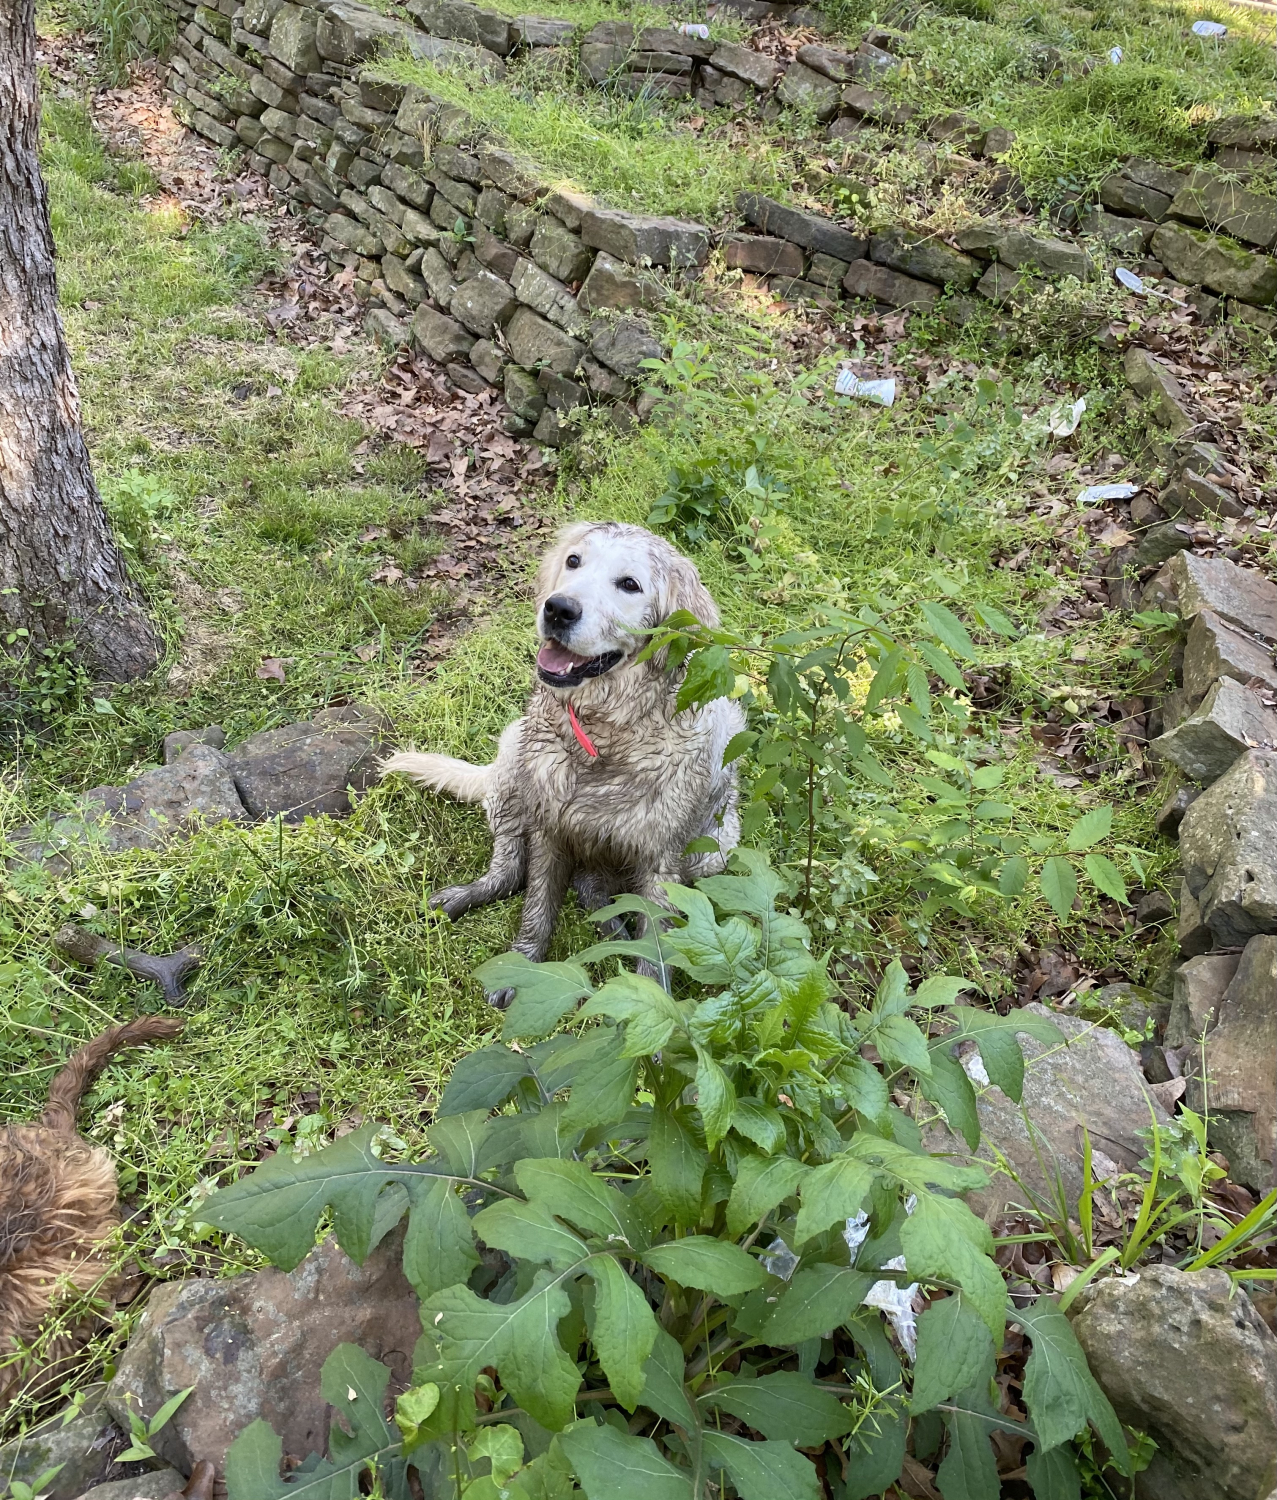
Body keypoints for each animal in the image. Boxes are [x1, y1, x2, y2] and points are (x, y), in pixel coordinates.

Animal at [383, 521, 745, 1003]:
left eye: (630, 584)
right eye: (574, 561)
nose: (558, 609)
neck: (603, 733)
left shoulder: (660, 855)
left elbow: (653, 946)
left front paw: (654, 1005)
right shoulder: (548, 826)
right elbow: (537, 902)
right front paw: (523, 965)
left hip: (716, 847)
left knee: (592, 889)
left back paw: (614, 931)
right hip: (513, 762)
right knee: (510, 874)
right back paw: (465, 897)